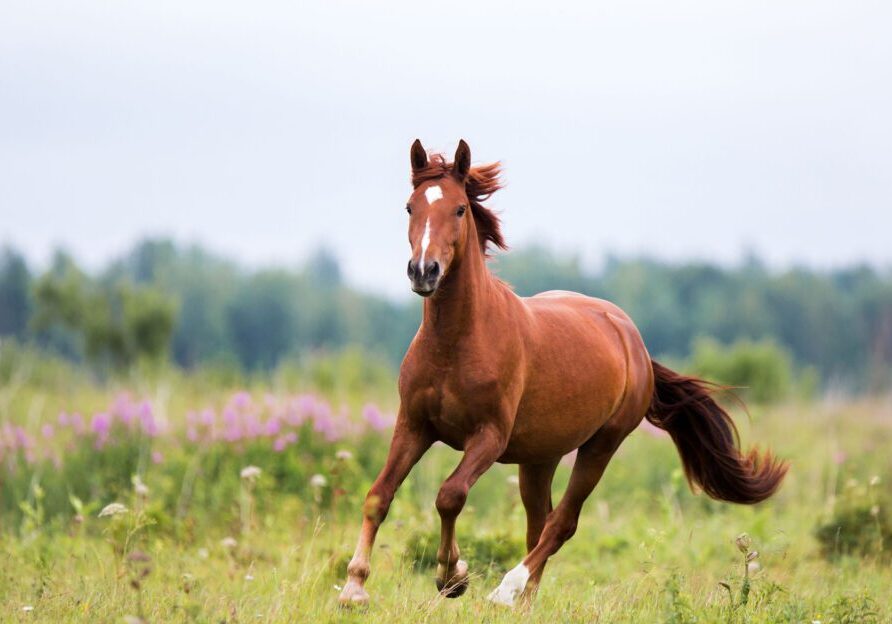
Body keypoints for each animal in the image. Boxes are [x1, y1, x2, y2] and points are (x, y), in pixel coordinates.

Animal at [338, 139, 787, 608]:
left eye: (460, 209)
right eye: (410, 207)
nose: (424, 272)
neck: (456, 343)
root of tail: (633, 340)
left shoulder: (489, 436)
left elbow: (450, 495)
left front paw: (452, 577)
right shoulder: (414, 424)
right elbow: (379, 495)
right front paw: (354, 586)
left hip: (601, 446)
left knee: (562, 523)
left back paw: (507, 590)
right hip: (540, 457)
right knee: (540, 522)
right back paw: (525, 602)